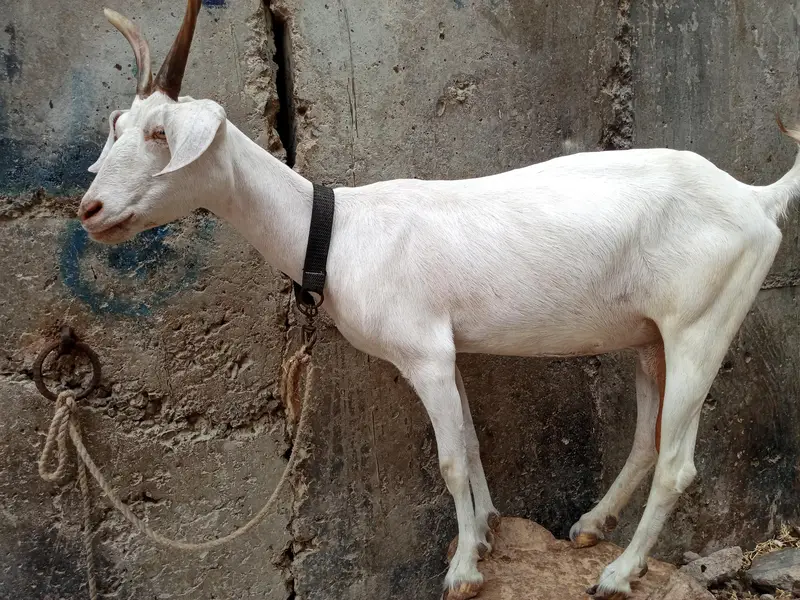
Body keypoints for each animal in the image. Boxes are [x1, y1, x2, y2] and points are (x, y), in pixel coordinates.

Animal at [78, 1, 800, 598]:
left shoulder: (422, 351)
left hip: (702, 322)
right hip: (649, 335)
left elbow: (450, 459)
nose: (91, 210)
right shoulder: (448, 350)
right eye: (120, 129)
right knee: (649, 440)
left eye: (160, 135)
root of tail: (755, 199)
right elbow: (473, 445)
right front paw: (486, 533)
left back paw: (618, 574)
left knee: (678, 464)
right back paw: (592, 526)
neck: (337, 231)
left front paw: (462, 571)